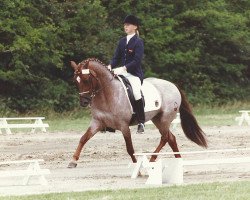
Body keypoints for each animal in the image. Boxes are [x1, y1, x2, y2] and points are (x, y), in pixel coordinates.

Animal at [68, 58, 207, 168]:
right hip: (157, 119)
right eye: (75, 81)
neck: (106, 94)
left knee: (165, 137)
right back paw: (178, 160)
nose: (84, 102)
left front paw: (137, 167)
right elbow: (83, 139)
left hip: (164, 119)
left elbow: (130, 148)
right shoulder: (97, 122)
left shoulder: (124, 126)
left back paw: (152, 158)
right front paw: (73, 161)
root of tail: (173, 85)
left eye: (86, 79)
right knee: (171, 138)